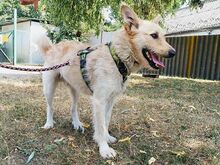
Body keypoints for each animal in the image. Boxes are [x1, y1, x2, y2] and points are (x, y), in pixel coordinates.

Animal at [37, 3, 175, 159]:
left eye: (163, 37)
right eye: (154, 35)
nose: (174, 52)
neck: (118, 58)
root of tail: (51, 47)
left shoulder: (110, 100)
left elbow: (106, 121)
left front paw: (107, 138)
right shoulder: (99, 100)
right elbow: (101, 125)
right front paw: (104, 148)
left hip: (75, 90)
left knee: (73, 108)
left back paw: (77, 124)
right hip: (49, 88)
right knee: (50, 107)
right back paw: (49, 123)